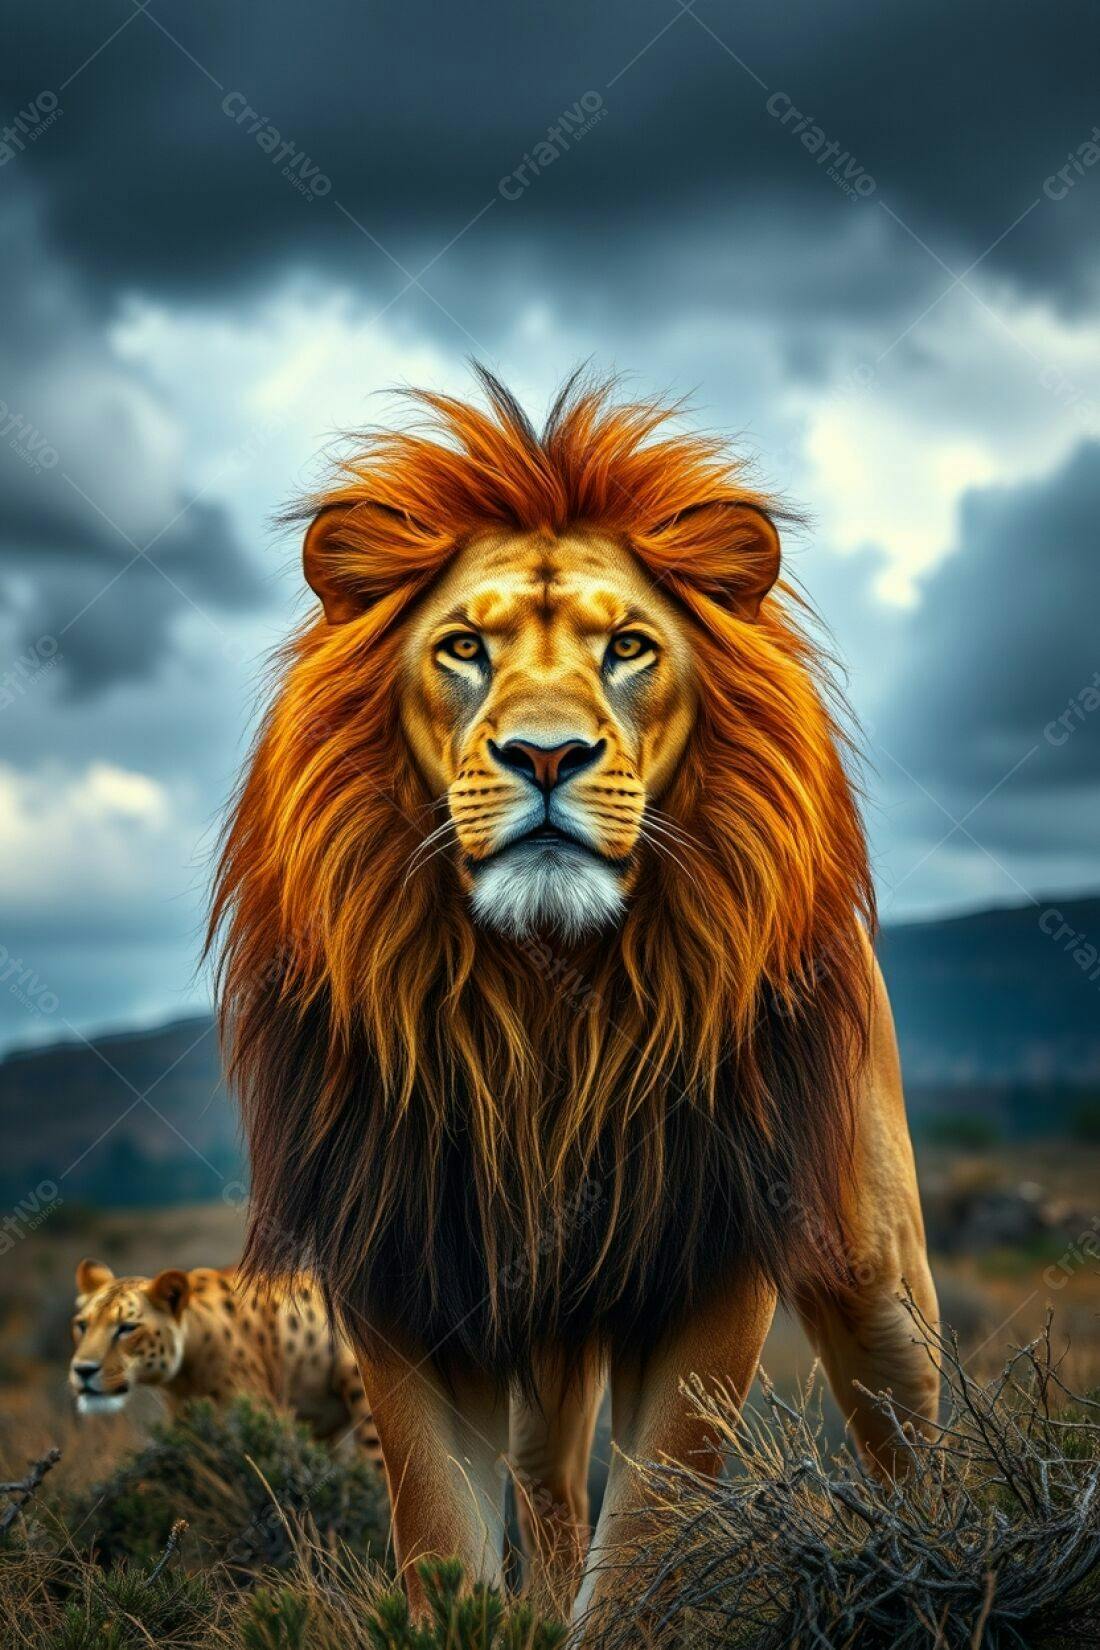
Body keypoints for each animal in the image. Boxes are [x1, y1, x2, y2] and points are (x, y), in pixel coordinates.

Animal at [209, 369, 939, 1622]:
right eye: (462, 646)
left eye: (629, 648)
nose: (544, 757)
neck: (540, 1004)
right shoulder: (405, 1269)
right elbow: (443, 1541)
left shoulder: (703, 1261)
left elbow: (644, 1543)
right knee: (546, 1493)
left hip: (871, 1262)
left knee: (922, 1436)